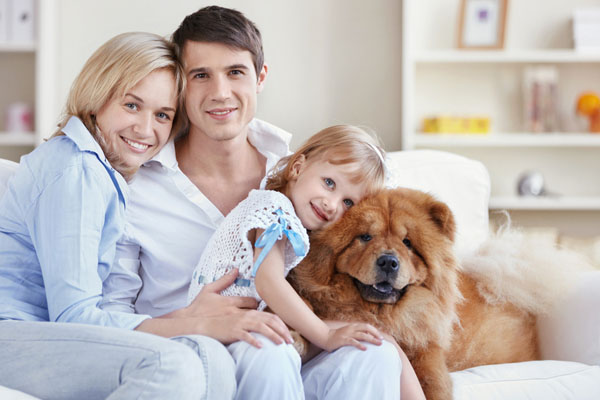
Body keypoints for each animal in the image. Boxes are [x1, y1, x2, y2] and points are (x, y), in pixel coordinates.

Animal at [288, 188, 580, 400]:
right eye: (365, 237)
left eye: (407, 243)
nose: (388, 262)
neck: (383, 315)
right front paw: (296, 336)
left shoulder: (426, 350)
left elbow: (433, 382)